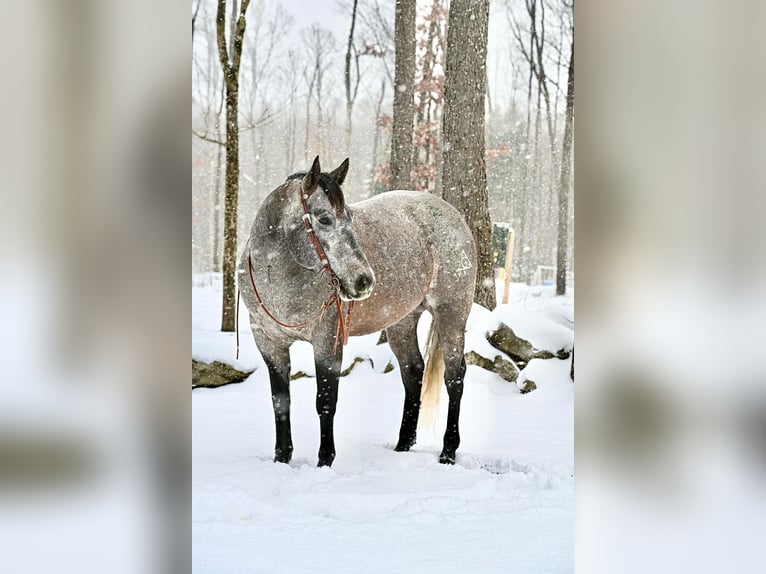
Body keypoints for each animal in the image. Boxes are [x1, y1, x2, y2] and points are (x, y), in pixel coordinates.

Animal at [240, 156, 476, 468]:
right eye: (324, 219)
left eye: (350, 218)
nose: (364, 280)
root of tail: (453, 215)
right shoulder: (269, 344)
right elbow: (281, 401)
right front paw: (281, 458)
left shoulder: (327, 342)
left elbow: (325, 400)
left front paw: (325, 461)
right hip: (401, 322)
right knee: (413, 371)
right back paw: (403, 445)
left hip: (451, 315)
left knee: (454, 377)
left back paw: (448, 451)